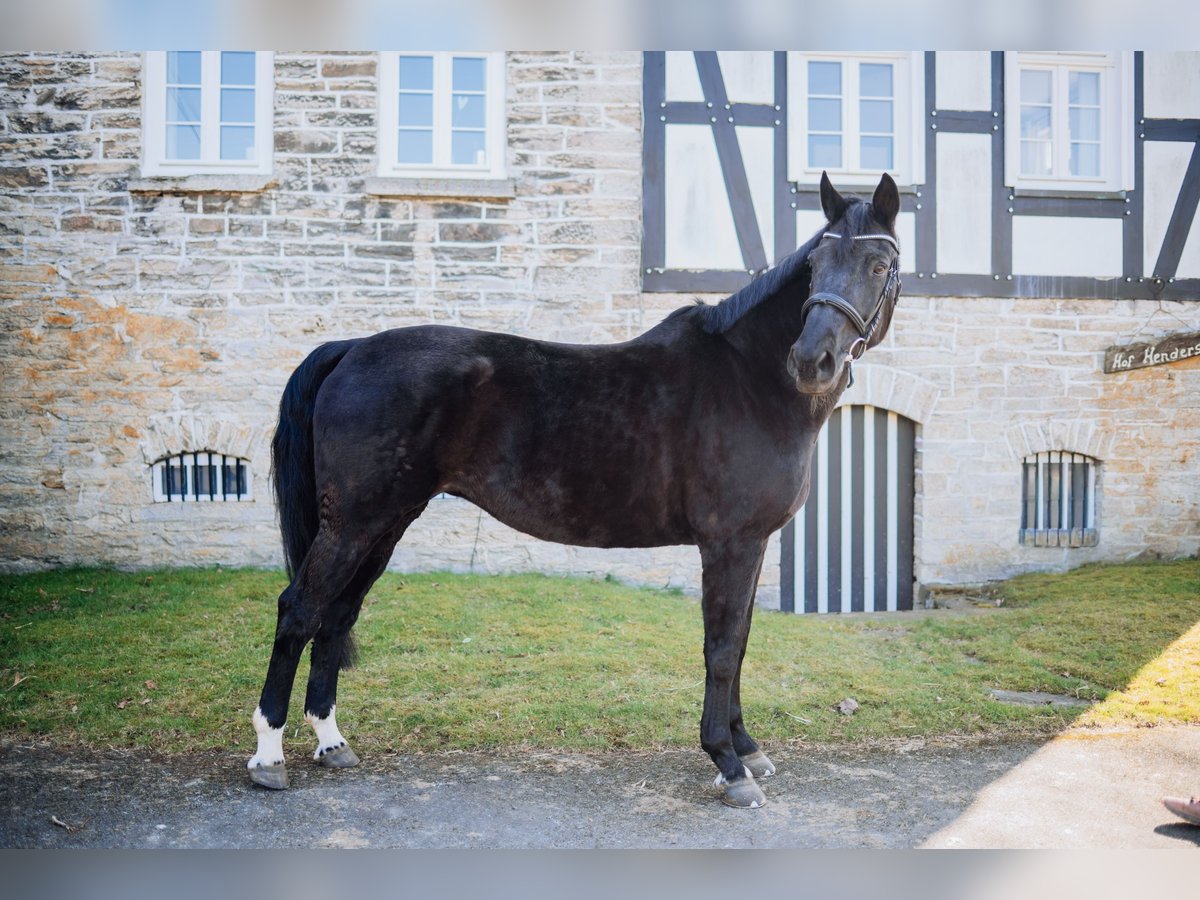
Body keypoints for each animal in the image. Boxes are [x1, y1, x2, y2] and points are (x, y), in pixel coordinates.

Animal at [247, 172, 903, 808]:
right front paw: (727, 762)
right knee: (299, 610)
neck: (748, 380)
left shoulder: (754, 543)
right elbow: (720, 648)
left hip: (384, 524)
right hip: (352, 524)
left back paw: (332, 743)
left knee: (337, 615)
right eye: (815, 264)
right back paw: (269, 756)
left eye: (877, 265)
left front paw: (746, 747)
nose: (812, 361)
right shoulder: (729, 544)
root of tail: (351, 349)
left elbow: (738, 643)